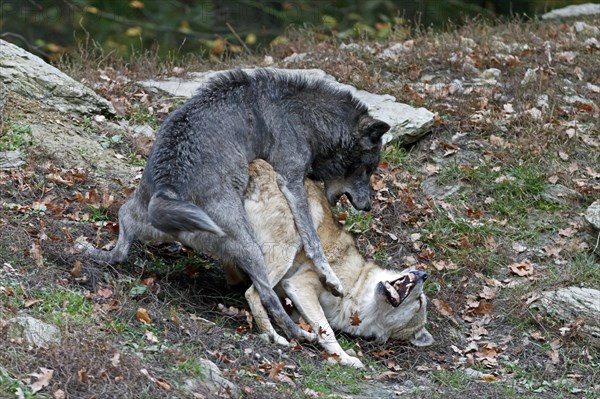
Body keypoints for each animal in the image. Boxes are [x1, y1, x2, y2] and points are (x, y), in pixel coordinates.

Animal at [77, 68, 392, 340]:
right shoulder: (290, 180)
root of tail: (167, 192)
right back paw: (297, 335)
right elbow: (313, 241)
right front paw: (332, 280)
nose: (368, 207)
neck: (301, 116)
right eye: (369, 169)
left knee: (119, 248)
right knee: (265, 295)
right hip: (251, 247)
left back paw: (88, 250)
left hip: (129, 214)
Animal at [227, 159, 434, 368]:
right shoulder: (299, 285)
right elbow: (327, 332)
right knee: (254, 294)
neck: (357, 289)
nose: (423, 274)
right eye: (421, 301)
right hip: (290, 244)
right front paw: (345, 358)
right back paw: (274, 336)